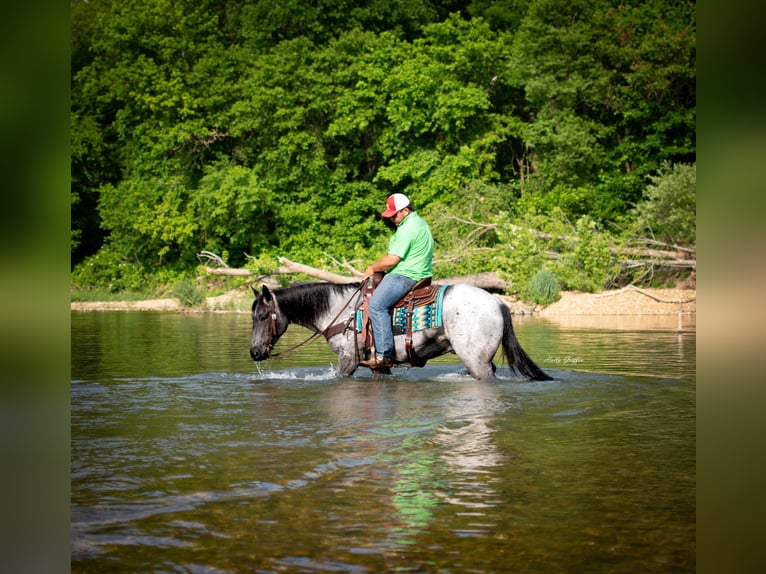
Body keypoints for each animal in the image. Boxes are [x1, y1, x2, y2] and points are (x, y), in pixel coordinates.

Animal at [252, 282, 552, 382]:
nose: (254, 353)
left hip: (476, 362)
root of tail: (497, 302)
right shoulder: (378, 364)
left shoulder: (348, 360)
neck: (341, 310)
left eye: (264, 316)